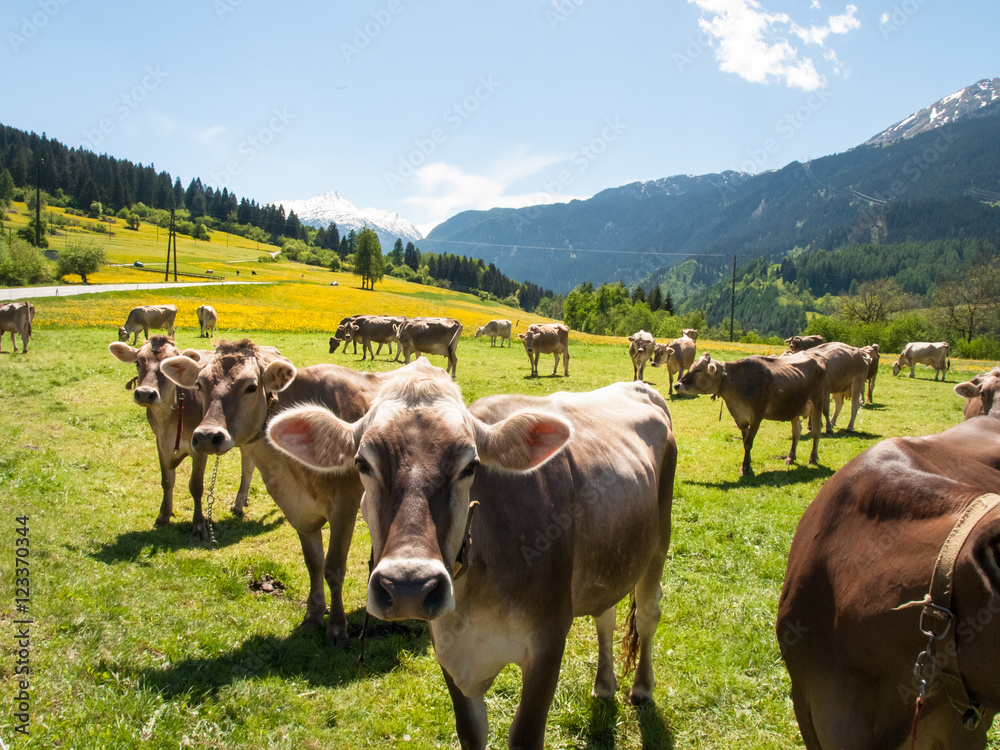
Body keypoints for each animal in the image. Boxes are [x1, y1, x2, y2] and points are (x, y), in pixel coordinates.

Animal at [108, 336, 255, 538]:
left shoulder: (199, 444)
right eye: (137, 362)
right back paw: (241, 503)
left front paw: (199, 525)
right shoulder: (160, 443)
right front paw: (164, 515)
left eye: (166, 365)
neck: (168, 418)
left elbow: (196, 486)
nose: (145, 393)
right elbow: (167, 480)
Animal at [160, 339, 386, 645]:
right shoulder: (297, 508)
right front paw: (314, 614)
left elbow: (334, 569)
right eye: (200, 384)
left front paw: (337, 628)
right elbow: (314, 563)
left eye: (251, 386)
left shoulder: (344, 506)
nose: (207, 436)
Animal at [265, 359, 677, 750]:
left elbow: (525, 734)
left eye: (471, 466)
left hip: (659, 542)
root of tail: (640, 388)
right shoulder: (449, 649)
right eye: (362, 464)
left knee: (648, 613)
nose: (409, 587)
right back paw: (605, 683)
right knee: (605, 614)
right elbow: (471, 732)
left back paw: (642, 688)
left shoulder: (549, 638)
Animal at [675, 352, 825, 476]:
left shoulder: (757, 415)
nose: (677, 385)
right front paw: (748, 460)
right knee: (796, 432)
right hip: (794, 408)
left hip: (817, 402)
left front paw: (746, 467)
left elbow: (748, 442)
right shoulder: (740, 417)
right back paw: (790, 457)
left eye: (698, 370)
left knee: (816, 432)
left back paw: (813, 457)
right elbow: (745, 440)